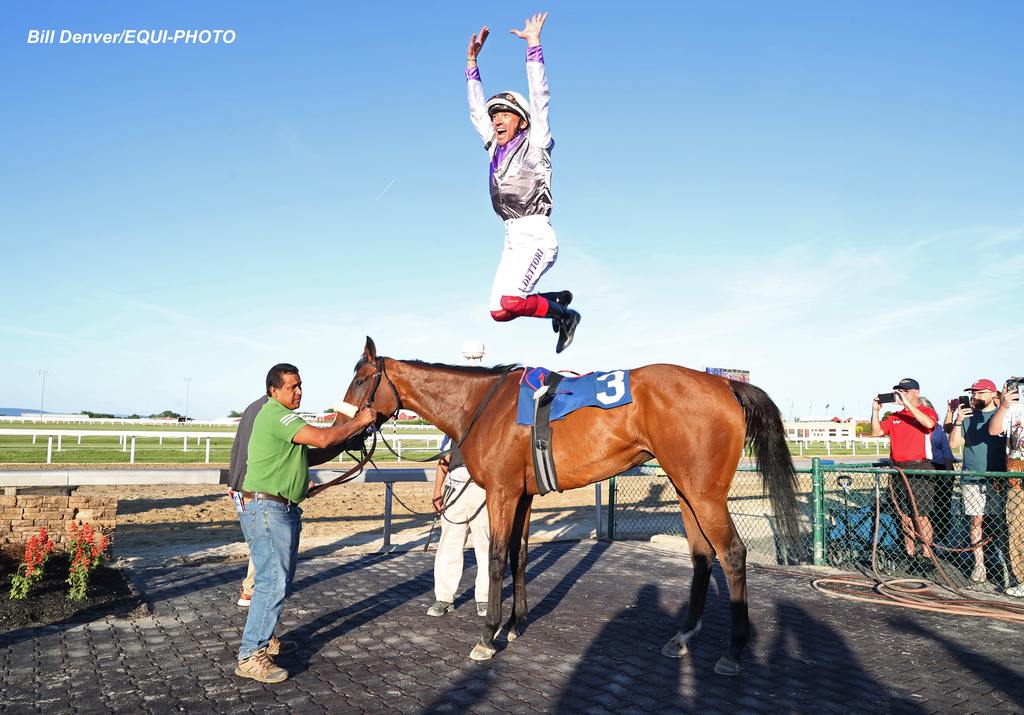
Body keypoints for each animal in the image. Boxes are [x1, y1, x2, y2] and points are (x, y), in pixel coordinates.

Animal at [342, 335, 798, 671]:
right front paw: (516, 624)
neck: (484, 405)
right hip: (687, 491)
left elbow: (495, 557)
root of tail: (725, 384)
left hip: (705, 494)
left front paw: (488, 635)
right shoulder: (522, 494)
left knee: (732, 553)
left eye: (362, 379)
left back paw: (733, 652)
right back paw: (683, 636)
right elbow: (519, 555)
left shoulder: (501, 492)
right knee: (703, 556)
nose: (343, 427)